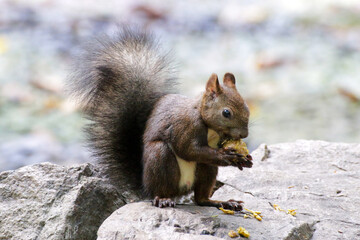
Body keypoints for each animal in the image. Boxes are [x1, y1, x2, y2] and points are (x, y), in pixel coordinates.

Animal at [69, 27, 252, 210]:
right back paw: (163, 199)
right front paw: (227, 156)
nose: (244, 134)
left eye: (247, 106)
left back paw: (221, 202)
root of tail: (146, 187)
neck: (209, 126)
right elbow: (188, 149)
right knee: (163, 188)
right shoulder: (185, 126)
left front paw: (245, 160)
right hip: (160, 159)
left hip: (206, 169)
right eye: (226, 113)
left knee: (200, 198)